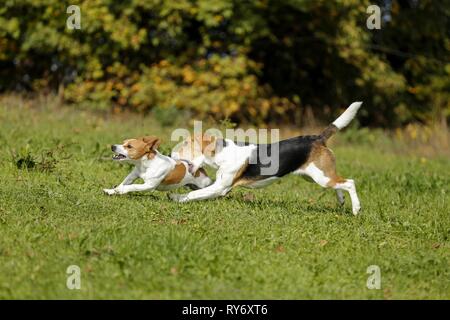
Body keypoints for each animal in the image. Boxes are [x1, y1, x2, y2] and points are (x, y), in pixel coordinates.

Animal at [169, 101, 362, 214]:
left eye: (185, 144)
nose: (171, 154)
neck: (223, 153)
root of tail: (317, 138)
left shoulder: (220, 188)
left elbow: (194, 193)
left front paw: (176, 199)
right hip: (315, 176)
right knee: (338, 183)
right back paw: (341, 200)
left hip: (320, 177)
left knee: (349, 182)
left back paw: (356, 209)